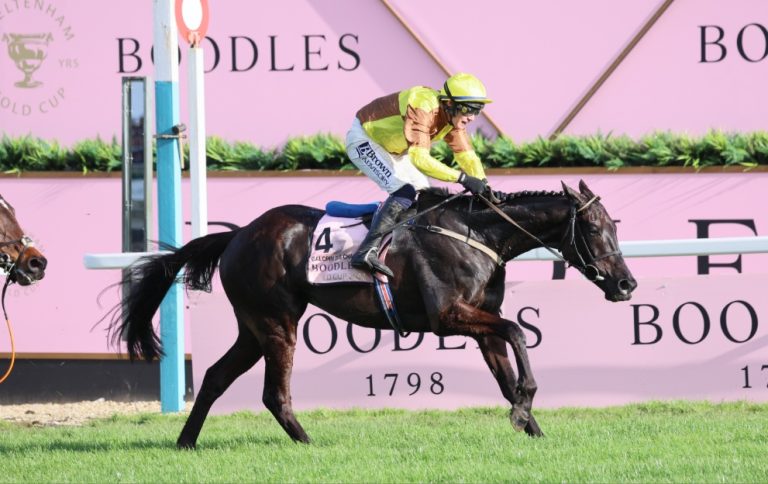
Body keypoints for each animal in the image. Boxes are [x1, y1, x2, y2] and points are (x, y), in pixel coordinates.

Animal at [109, 180, 636, 448]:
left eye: (614, 225)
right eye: (594, 227)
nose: (626, 284)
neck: (477, 233)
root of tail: (238, 233)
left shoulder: (479, 322)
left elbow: (507, 367)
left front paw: (531, 426)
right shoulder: (449, 316)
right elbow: (518, 333)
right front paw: (526, 406)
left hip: (252, 327)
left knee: (217, 376)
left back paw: (185, 442)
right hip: (278, 321)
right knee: (273, 393)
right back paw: (308, 443)